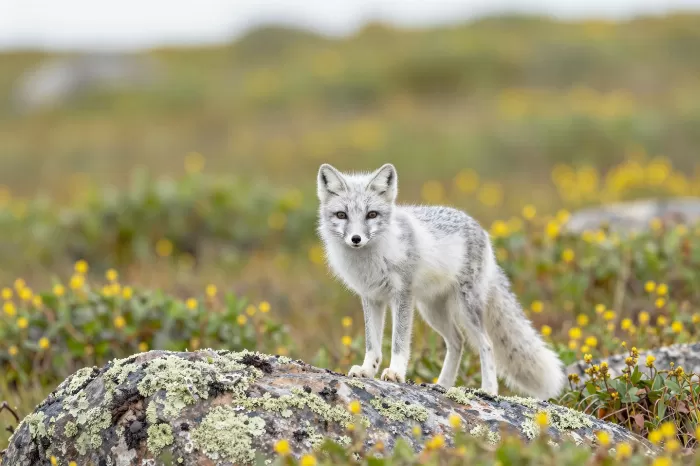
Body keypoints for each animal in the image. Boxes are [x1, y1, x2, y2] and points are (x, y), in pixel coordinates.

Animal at [315, 163, 566, 400]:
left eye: (372, 214)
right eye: (342, 215)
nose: (356, 239)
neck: (369, 260)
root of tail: (481, 229)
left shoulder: (402, 296)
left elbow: (399, 342)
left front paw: (395, 373)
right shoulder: (371, 297)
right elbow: (372, 344)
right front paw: (367, 371)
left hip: (464, 308)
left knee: (486, 344)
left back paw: (488, 390)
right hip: (432, 311)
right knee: (457, 342)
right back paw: (442, 385)